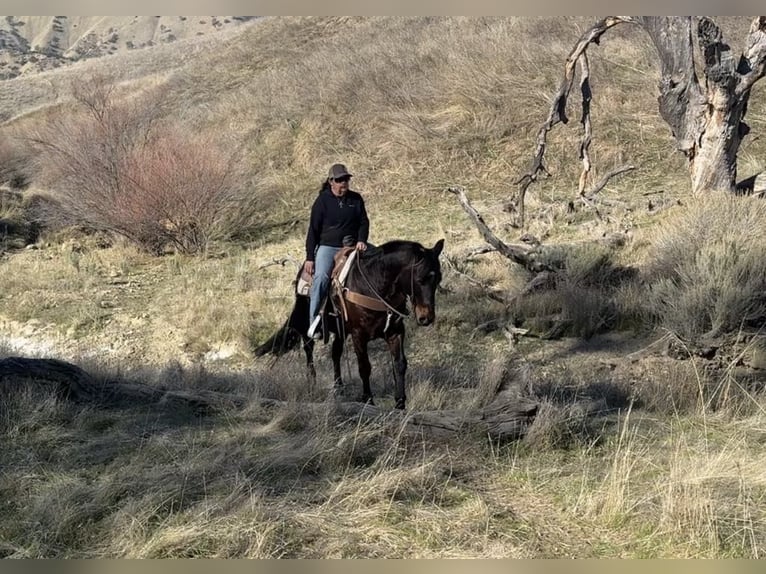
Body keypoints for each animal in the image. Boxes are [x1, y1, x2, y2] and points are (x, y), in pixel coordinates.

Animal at [254, 239, 445, 410]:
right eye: (420, 279)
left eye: (438, 279)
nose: (426, 317)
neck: (376, 286)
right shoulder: (359, 335)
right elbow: (364, 367)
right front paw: (368, 400)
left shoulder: (395, 332)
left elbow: (400, 364)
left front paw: (400, 403)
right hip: (305, 321)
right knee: (308, 349)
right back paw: (312, 382)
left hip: (341, 331)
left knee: (335, 353)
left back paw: (339, 387)